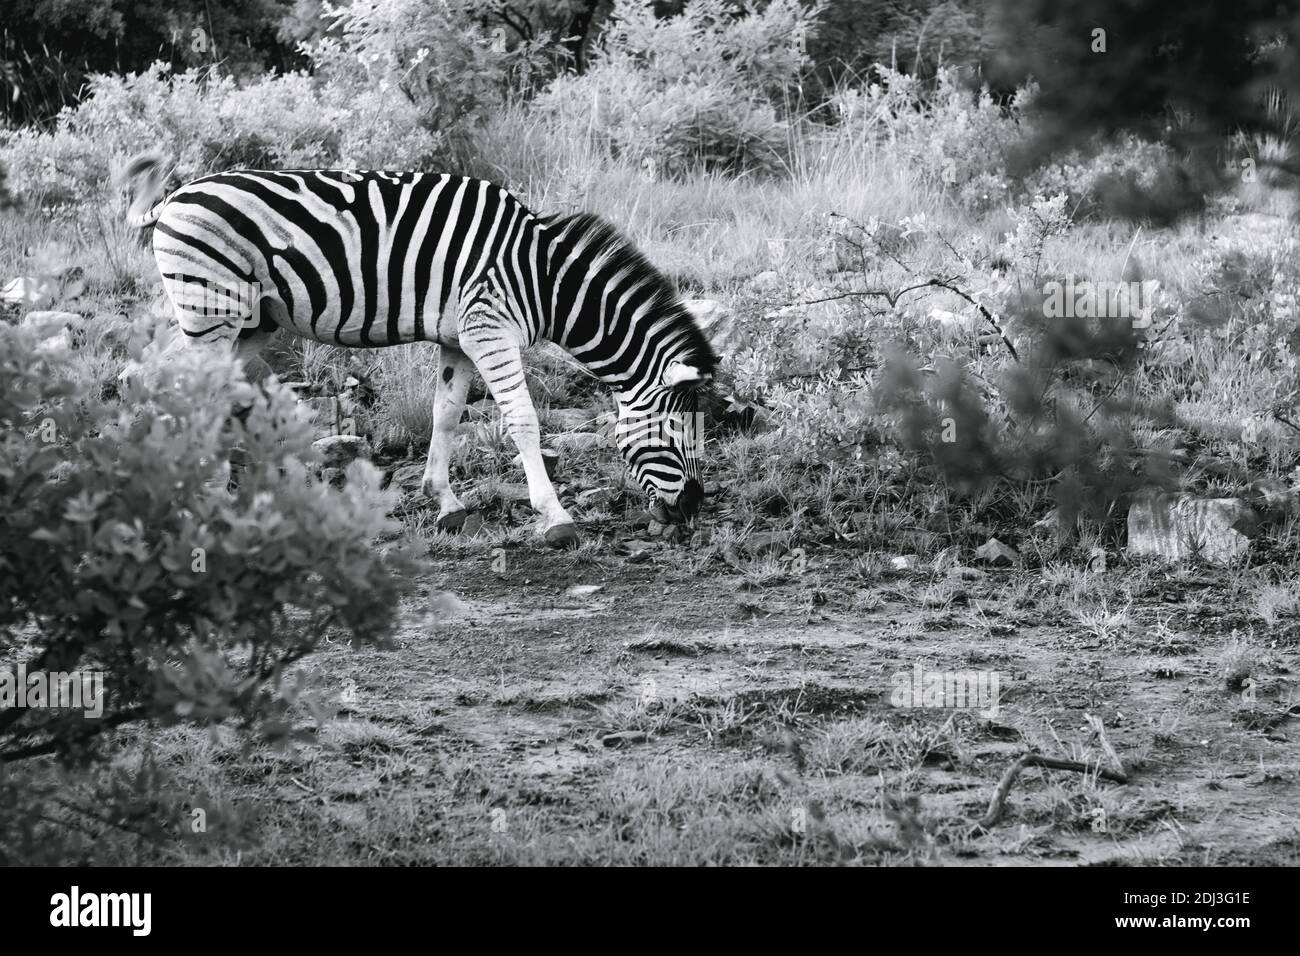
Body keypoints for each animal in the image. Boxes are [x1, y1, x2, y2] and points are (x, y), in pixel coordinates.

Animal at [121, 155, 716, 547]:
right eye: (674, 430)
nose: (692, 507)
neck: (543, 279)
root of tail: (174, 196)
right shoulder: (487, 327)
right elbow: (523, 419)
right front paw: (555, 517)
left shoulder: (459, 338)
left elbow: (446, 414)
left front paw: (446, 504)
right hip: (211, 312)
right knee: (182, 390)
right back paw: (201, 499)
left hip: (244, 323)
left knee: (143, 377)